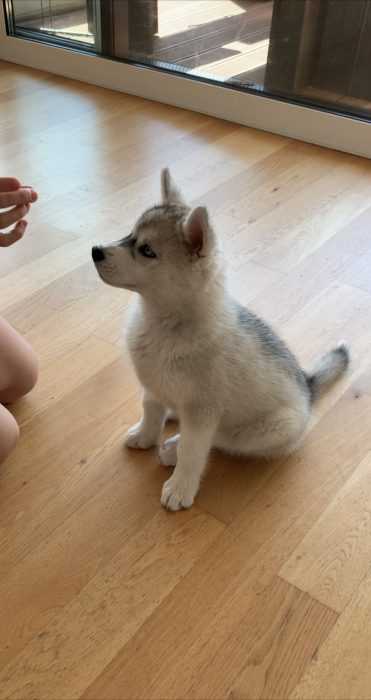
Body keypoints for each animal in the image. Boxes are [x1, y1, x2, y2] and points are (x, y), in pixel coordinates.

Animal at [91, 168, 350, 508]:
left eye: (147, 251)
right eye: (130, 234)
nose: (95, 251)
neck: (165, 323)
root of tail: (307, 384)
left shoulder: (203, 411)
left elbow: (193, 448)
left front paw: (180, 486)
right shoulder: (153, 384)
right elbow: (150, 409)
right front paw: (145, 435)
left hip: (271, 428)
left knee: (223, 439)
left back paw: (171, 449)